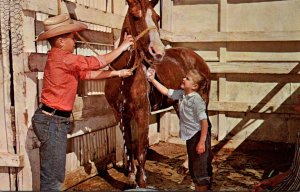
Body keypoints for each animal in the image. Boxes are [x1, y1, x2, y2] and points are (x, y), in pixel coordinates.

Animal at [105, 0, 211, 188]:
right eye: (135, 15)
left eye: (157, 17)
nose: (158, 52)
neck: (123, 77)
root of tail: (199, 60)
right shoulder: (120, 115)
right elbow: (129, 146)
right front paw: (131, 176)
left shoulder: (142, 113)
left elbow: (141, 149)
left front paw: (141, 181)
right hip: (178, 104)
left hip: (201, 101)